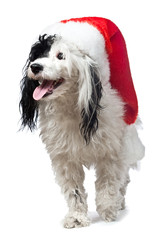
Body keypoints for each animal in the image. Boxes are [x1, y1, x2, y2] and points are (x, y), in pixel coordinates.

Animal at [19, 17, 145, 228]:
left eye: (61, 56)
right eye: (40, 54)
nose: (35, 67)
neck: (73, 107)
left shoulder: (111, 152)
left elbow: (109, 182)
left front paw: (108, 210)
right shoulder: (65, 158)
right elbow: (74, 190)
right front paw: (77, 217)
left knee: (123, 177)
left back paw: (119, 202)